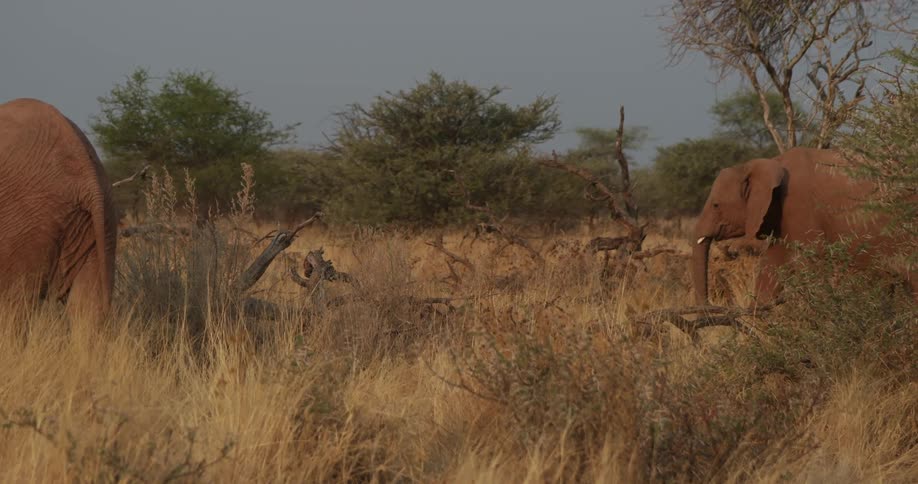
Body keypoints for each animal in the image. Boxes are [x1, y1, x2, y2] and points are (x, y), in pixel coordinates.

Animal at [692, 146, 914, 306]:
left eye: (716, 205)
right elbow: (770, 271)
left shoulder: (800, 208)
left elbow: (809, 268)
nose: (710, 307)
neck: (771, 163)